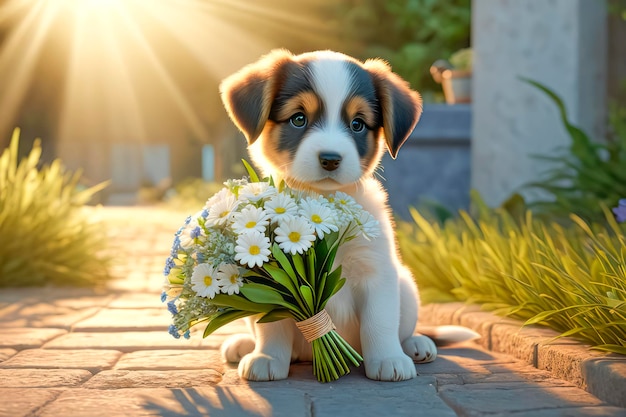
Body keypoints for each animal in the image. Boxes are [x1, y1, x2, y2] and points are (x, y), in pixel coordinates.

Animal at [217, 48, 436, 380]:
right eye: (298, 119)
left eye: (357, 124)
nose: (330, 159)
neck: (322, 205)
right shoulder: (271, 277)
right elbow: (273, 327)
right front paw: (268, 357)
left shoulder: (376, 271)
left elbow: (380, 323)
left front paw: (388, 359)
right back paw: (243, 343)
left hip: (407, 286)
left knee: (404, 328)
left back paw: (416, 344)